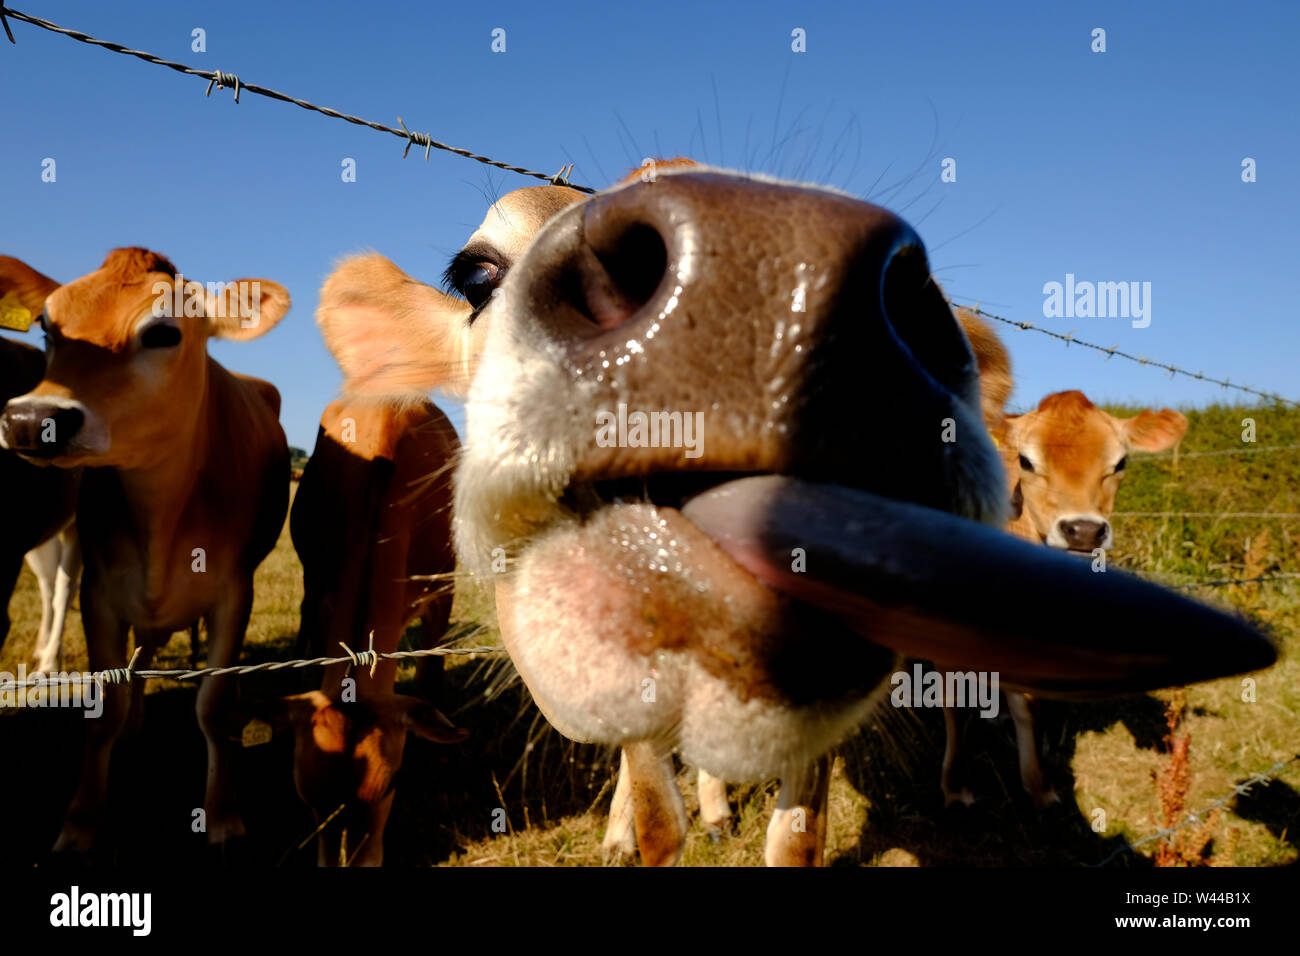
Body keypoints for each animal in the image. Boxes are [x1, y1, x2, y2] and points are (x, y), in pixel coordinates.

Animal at [0, 248, 290, 854]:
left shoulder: (235, 594)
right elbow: (104, 707)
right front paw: (81, 820)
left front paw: (222, 814)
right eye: (47, 328)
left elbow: (213, 706)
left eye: (161, 333)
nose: (31, 420)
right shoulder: (100, 594)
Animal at [321, 163, 1272, 866]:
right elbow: (655, 815)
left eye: (1120, 464)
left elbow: (798, 840)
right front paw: (644, 827)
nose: (768, 277)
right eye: (478, 274)